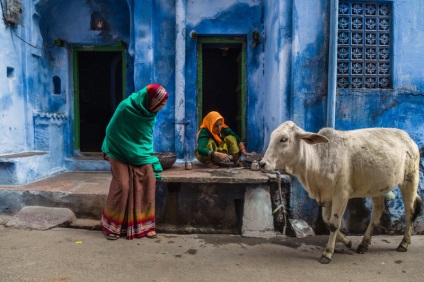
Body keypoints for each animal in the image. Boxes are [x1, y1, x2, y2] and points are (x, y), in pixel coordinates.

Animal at [260, 121, 422, 264]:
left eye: (284, 139)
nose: (262, 163)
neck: (319, 159)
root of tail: (408, 138)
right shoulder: (326, 197)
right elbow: (327, 220)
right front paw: (348, 242)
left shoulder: (341, 195)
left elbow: (334, 224)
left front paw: (327, 253)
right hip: (378, 188)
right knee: (377, 213)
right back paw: (363, 244)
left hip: (410, 180)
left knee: (410, 212)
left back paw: (403, 243)